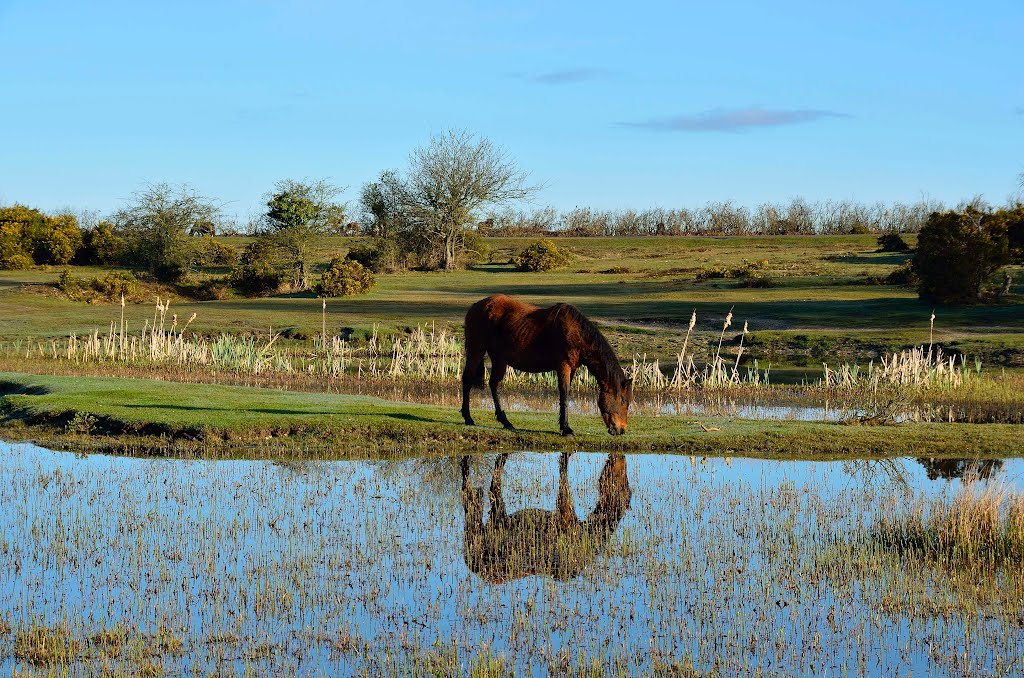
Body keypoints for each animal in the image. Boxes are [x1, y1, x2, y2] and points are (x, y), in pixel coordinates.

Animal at [458, 294, 630, 438]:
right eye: (623, 400)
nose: (621, 430)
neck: (576, 332)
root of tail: (476, 306)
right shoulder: (563, 365)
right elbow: (564, 393)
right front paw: (566, 429)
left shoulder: (572, 368)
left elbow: (565, 394)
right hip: (476, 349)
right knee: (467, 379)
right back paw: (468, 418)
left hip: (499, 358)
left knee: (494, 383)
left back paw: (505, 422)